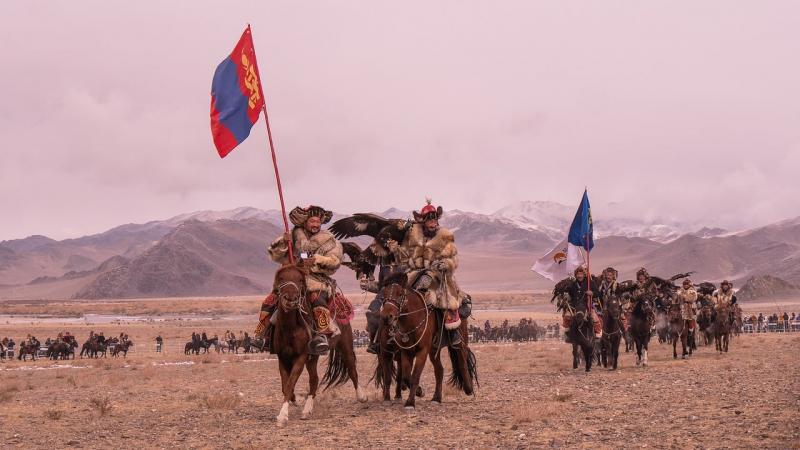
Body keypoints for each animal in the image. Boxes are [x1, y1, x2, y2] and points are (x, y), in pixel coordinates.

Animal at [270, 260, 368, 426]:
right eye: (282, 278)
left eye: (300, 280)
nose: (291, 299)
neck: (290, 328)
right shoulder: (282, 357)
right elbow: (286, 385)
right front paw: (294, 401)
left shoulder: (301, 356)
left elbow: (290, 383)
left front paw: (282, 416)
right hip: (313, 357)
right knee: (314, 379)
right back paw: (307, 410)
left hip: (345, 345)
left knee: (351, 369)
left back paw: (362, 396)